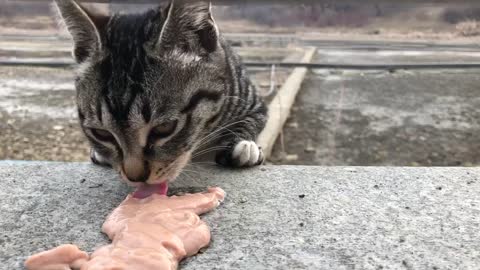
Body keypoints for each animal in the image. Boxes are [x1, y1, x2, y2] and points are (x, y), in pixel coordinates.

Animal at [54, 0, 268, 186]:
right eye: (101, 133)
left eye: (165, 128)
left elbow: (251, 120)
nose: (136, 177)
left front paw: (243, 145)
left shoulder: (255, 104)